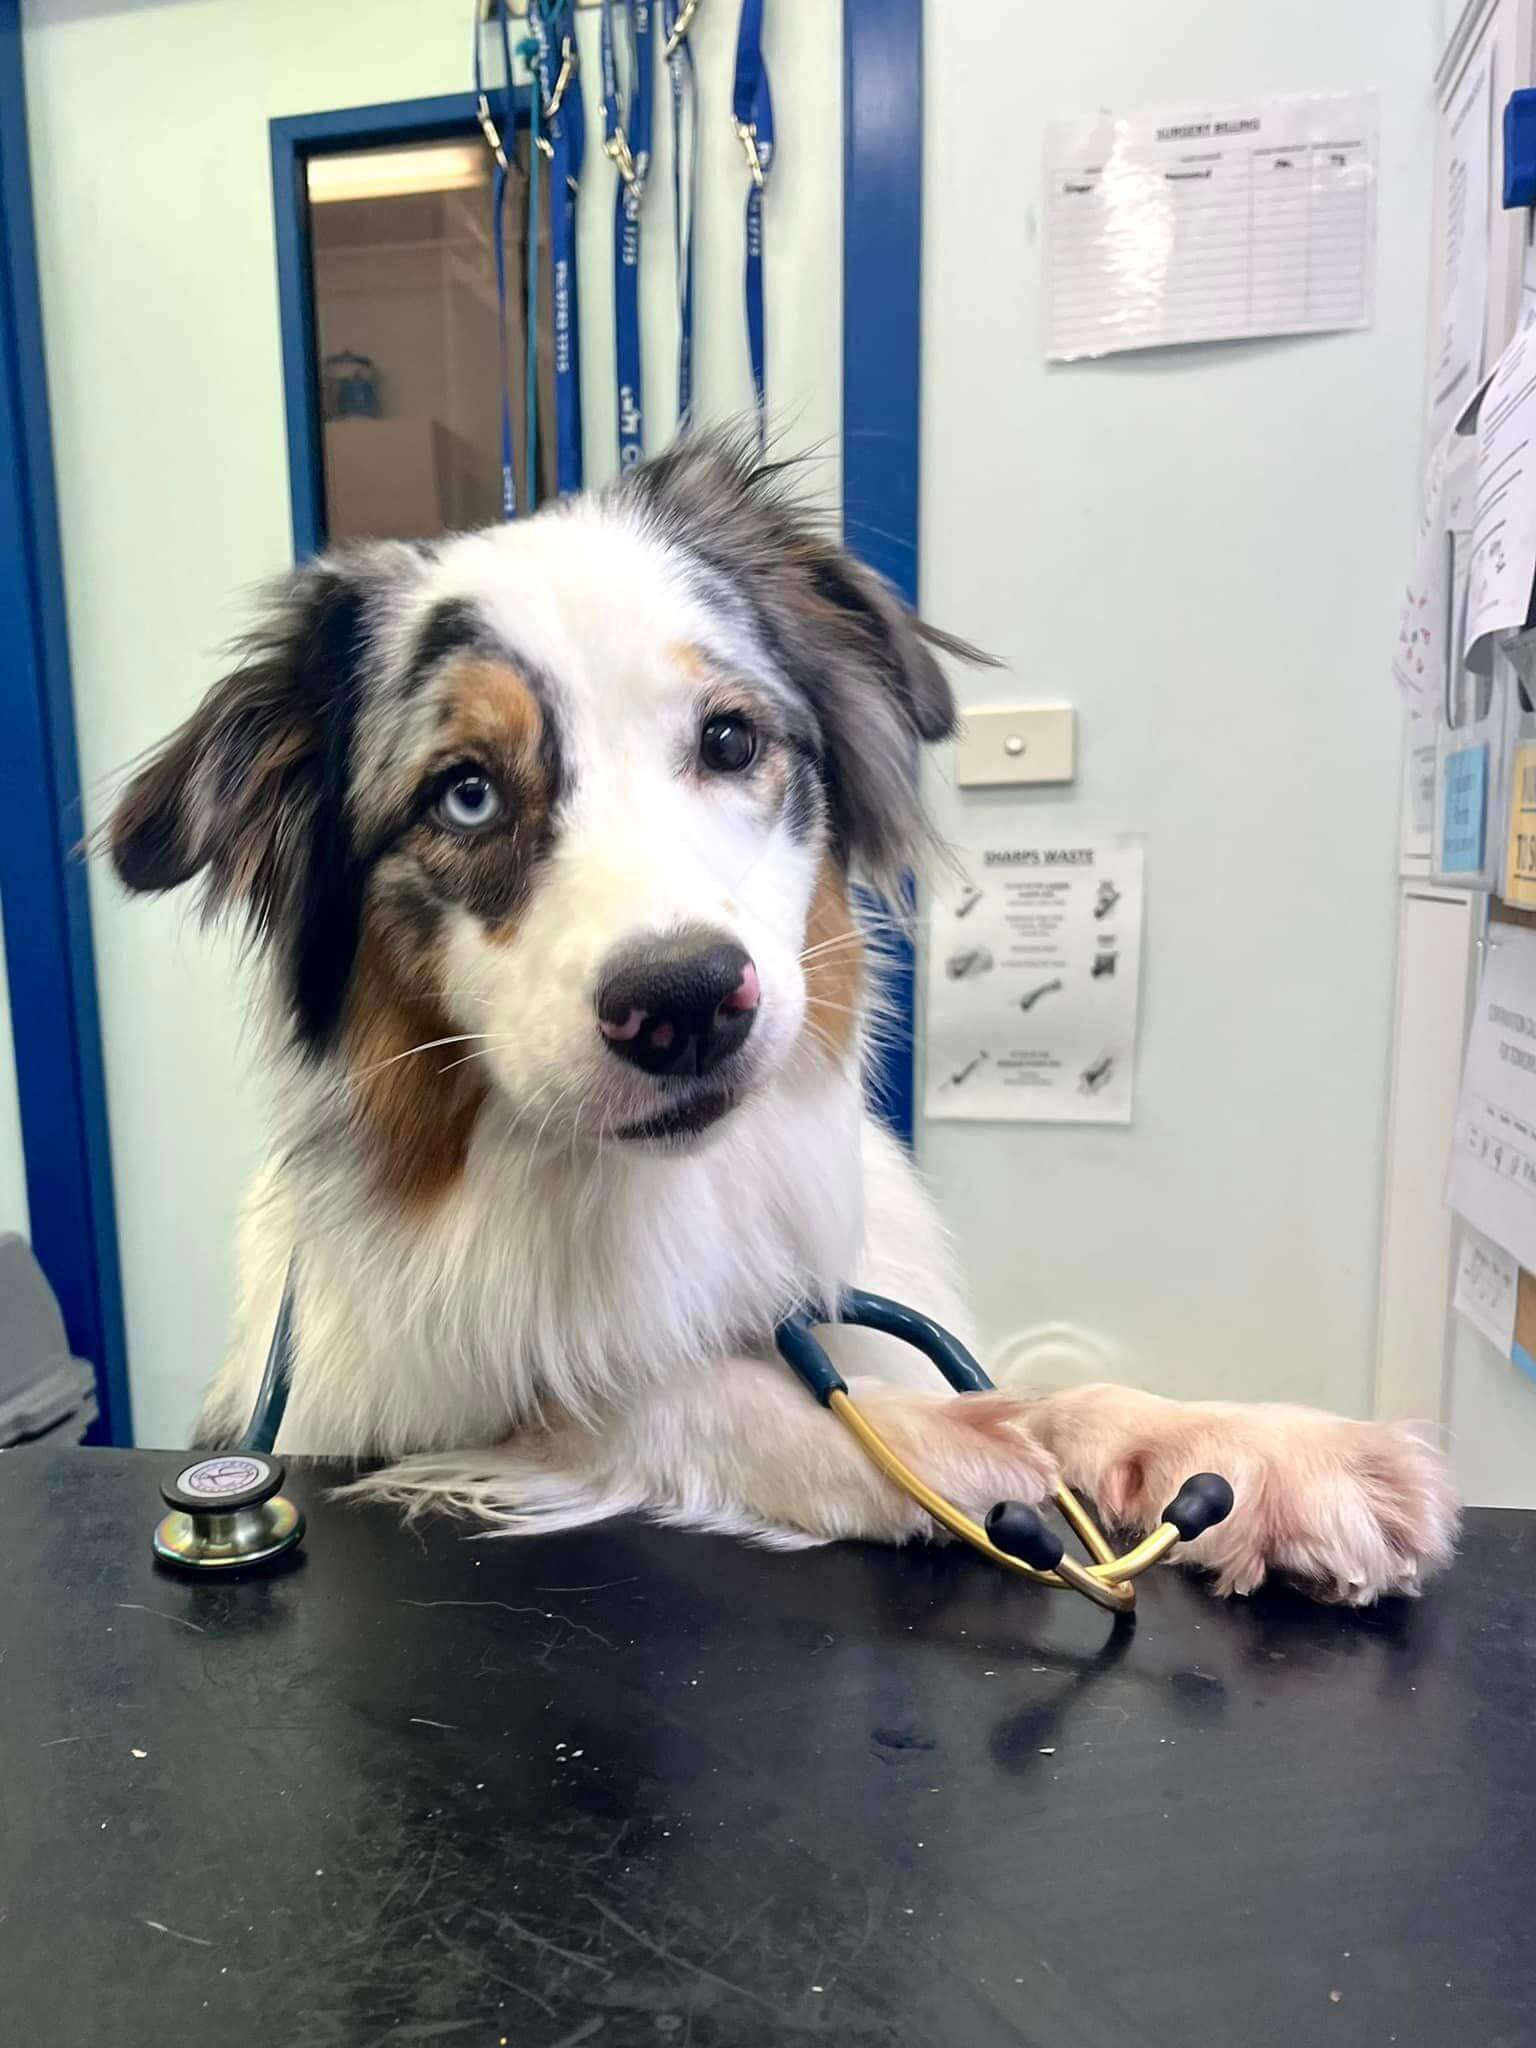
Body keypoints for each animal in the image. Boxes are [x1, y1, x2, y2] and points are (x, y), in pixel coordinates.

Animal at [108, 440, 1458, 1605]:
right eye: (468, 794)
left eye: (728, 737)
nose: (686, 1002)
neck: (661, 1197)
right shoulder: (393, 1407)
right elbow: (628, 1390)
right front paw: (944, 1441)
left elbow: (1052, 1390)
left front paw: (1266, 1447)